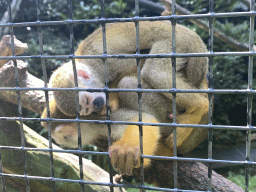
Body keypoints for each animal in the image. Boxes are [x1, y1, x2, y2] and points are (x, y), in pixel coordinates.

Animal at [42, 21, 209, 180]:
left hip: (176, 44)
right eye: (86, 109)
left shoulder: (104, 65)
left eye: (87, 101)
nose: (97, 105)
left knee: (146, 75)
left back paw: (201, 106)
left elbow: (132, 68)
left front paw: (127, 146)